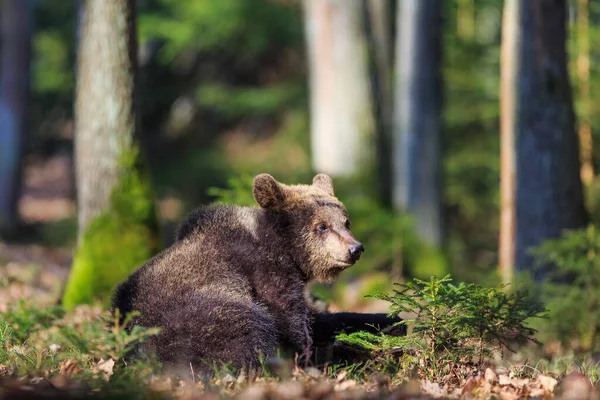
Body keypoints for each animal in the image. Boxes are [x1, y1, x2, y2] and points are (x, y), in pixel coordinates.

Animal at [114, 173, 400, 374]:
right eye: (322, 226)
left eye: (346, 221)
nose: (355, 248)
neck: (285, 251)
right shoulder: (264, 272)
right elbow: (290, 322)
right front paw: (312, 359)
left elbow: (322, 320)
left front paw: (389, 320)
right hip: (189, 318)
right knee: (245, 329)